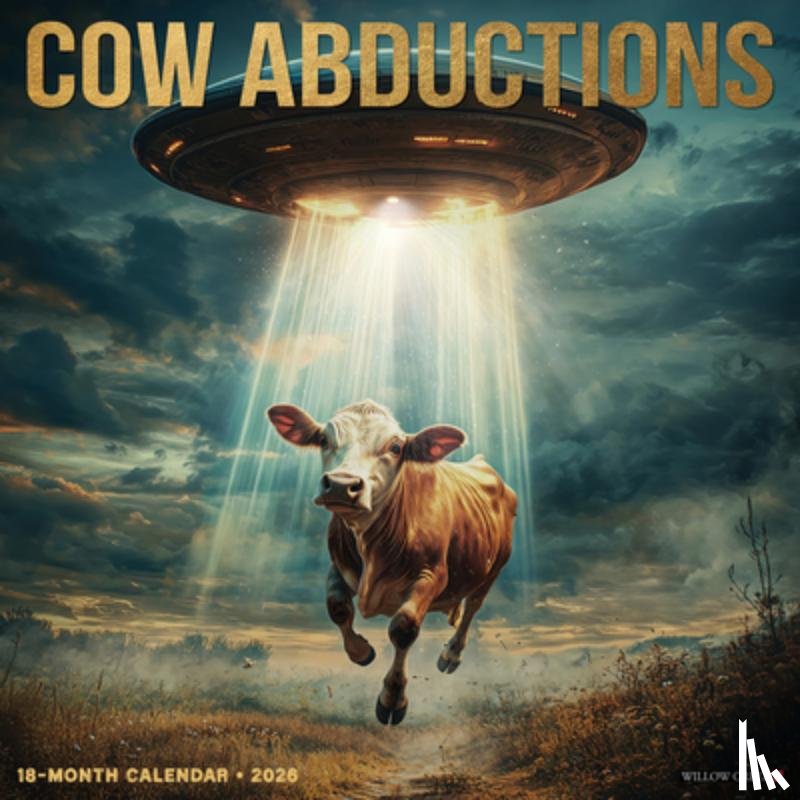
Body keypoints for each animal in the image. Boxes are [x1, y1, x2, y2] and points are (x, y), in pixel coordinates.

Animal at [266, 399, 516, 725]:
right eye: (323, 439)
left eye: (396, 447)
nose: (341, 485)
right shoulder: (339, 565)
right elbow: (337, 607)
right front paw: (360, 652)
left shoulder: (432, 575)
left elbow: (403, 628)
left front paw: (393, 697)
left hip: (494, 568)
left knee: (473, 606)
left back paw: (451, 655)